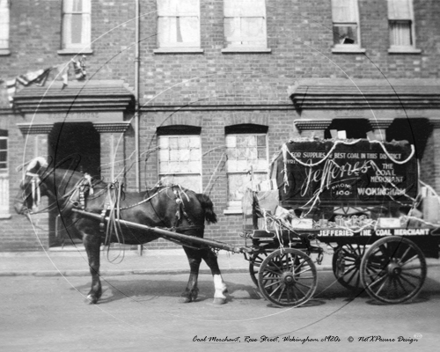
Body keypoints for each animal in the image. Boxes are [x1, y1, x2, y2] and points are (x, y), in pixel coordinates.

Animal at [15, 157, 229, 306]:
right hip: (189, 236)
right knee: (199, 259)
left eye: (24, 184)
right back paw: (196, 293)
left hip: (189, 234)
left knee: (204, 258)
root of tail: (194, 195)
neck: (83, 197)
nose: (17, 207)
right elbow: (95, 265)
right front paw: (95, 292)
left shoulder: (90, 237)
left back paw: (212, 293)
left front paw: (93, 294)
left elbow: (93, 265)